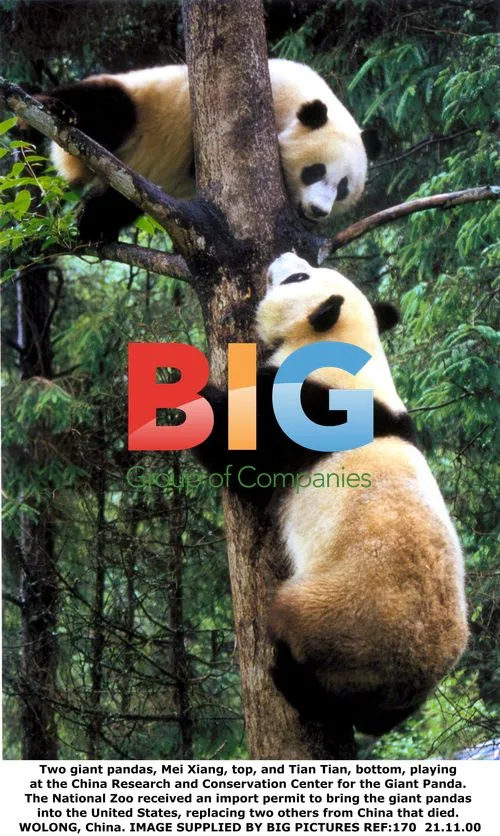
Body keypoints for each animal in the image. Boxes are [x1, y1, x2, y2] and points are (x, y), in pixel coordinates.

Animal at [39, 59, 379, 241]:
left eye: (344, 188)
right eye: (315, 171)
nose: (318, 211)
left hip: (134, 179)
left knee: (117, 203)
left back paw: (92, 225)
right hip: (138, 104)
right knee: (107, 106)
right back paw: (56, 109)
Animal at [193, 252, 469, 736]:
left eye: (299, 277)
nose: (283, 257)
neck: (343, 343)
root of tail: (408, 678)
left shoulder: (309, 407)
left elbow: (239, 452)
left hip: (340, 613)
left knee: (293, 628)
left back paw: (288, 676)